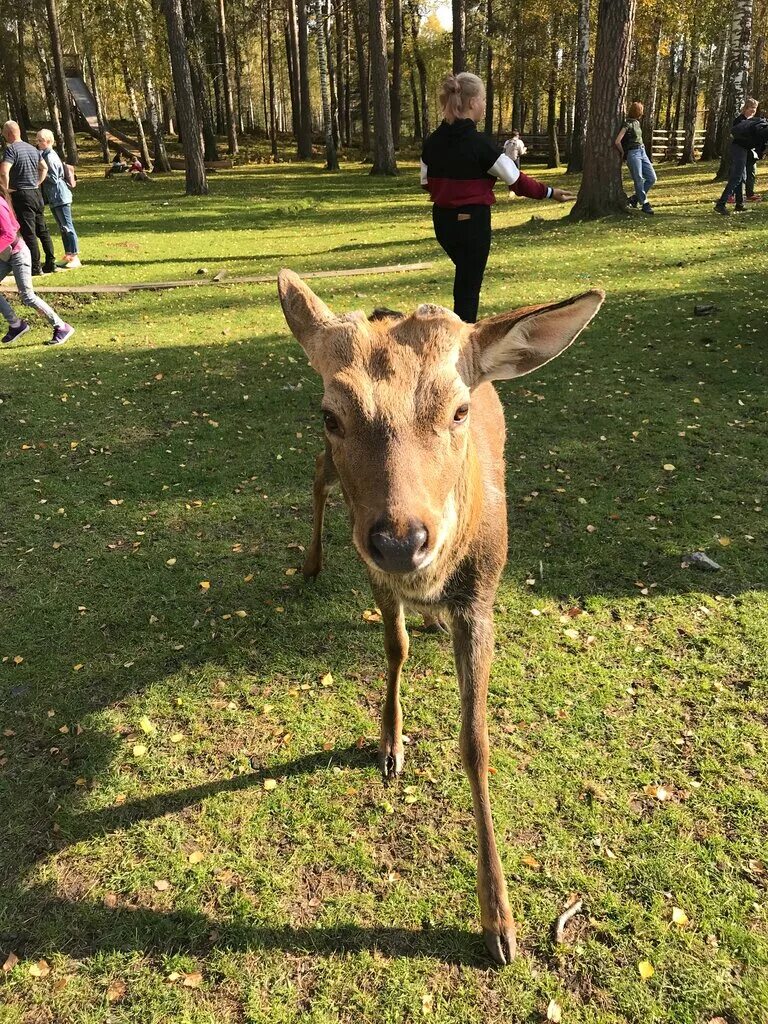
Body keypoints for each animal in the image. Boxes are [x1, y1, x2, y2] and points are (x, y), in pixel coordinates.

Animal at [276, 268, 606, 962]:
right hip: (336, 493)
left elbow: (476, 742)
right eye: (331, 413)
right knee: (317, 476)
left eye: (459, 410)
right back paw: (313, 563)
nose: (401, 539)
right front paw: (390, 745)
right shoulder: (374, 571)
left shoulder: (481, 599)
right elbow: (394, 648)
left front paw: (501, 925)